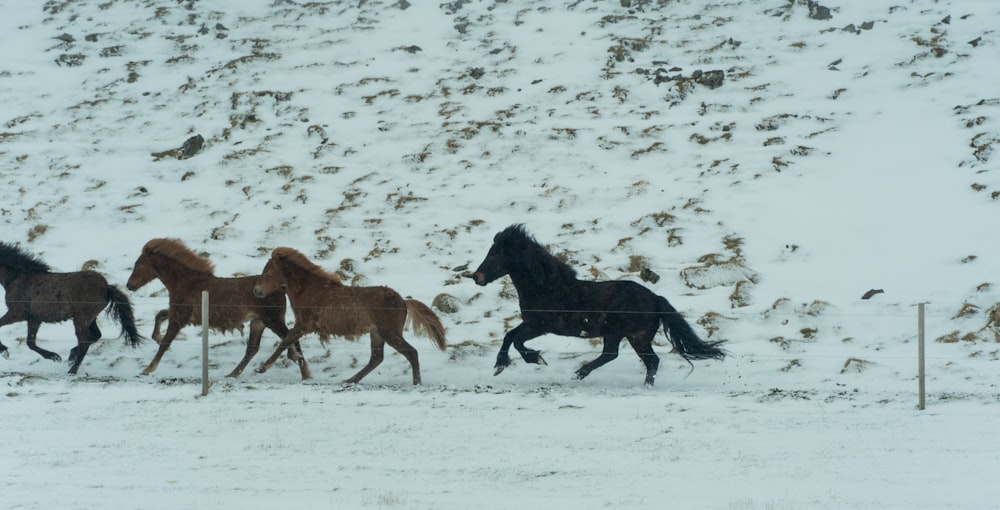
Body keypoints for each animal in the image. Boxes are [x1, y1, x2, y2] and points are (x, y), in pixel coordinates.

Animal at [0, 241, 143, 372]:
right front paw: (54, 356)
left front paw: (4, 351)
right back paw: (71, 356)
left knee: (85, 340)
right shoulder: (34, 319)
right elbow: (31, 343)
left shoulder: (16, 314)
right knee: (95, 335)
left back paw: (72, 370)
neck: (18, 279)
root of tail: (107, 288)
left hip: (80, 319)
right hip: (90, 318)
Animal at [126, 239, 296, 378]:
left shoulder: (179, 318)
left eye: (138, 265)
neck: (186, 282)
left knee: (289, 336)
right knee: (253, 349)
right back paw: (233, 374)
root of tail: (281, 288)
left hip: (272, 321)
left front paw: (148, 369)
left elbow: (166, 343)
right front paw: (157, 337)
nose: (129, 285)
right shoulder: (180, 313)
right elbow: (160, 315)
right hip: (259, 322)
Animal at [252, 246, 448, 382]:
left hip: (389, 333)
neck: (309, 289)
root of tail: (403, 301)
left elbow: (285, 340)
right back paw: (350, 380)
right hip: (376, 334)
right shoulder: (303, 326)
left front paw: (262, 368)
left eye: (268, 271)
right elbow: (288, 340)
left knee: (411, 353)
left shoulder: (304, 325)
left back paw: (416, 383)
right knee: (376, 358)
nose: (256, 291)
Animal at [470, 225, 728, 384]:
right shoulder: (531, 323)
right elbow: (510, 336)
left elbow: (515, 340)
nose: (476, 277)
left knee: (640, 359)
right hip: (624, 335)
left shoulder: (539, 325)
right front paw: (507, 364)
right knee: (627, 357)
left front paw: (528, 360)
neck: (546, 287)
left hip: (631, 335)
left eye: (496, 253)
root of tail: (656, 299)